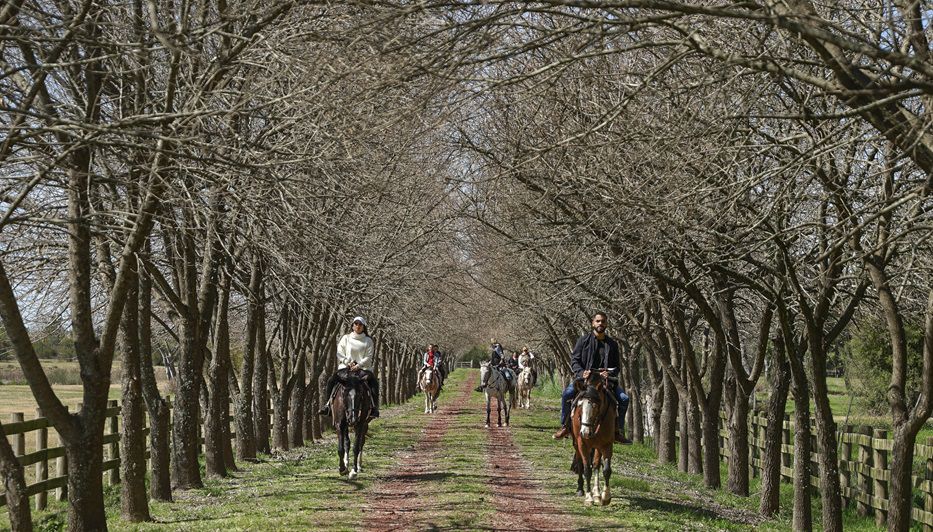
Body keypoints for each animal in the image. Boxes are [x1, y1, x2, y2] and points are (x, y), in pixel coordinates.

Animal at [564, 372, 616, 504]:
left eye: (596, 406)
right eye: (580, 406)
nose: (585, 432)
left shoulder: (607, 444)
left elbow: (606, 469)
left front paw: (605, 496)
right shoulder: (582, 443)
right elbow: (587, 469)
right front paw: (588, 498)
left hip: (597, 446)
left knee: (596, 464)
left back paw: (597, 494)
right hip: (577, 444)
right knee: (580, 462)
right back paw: (580, 489)